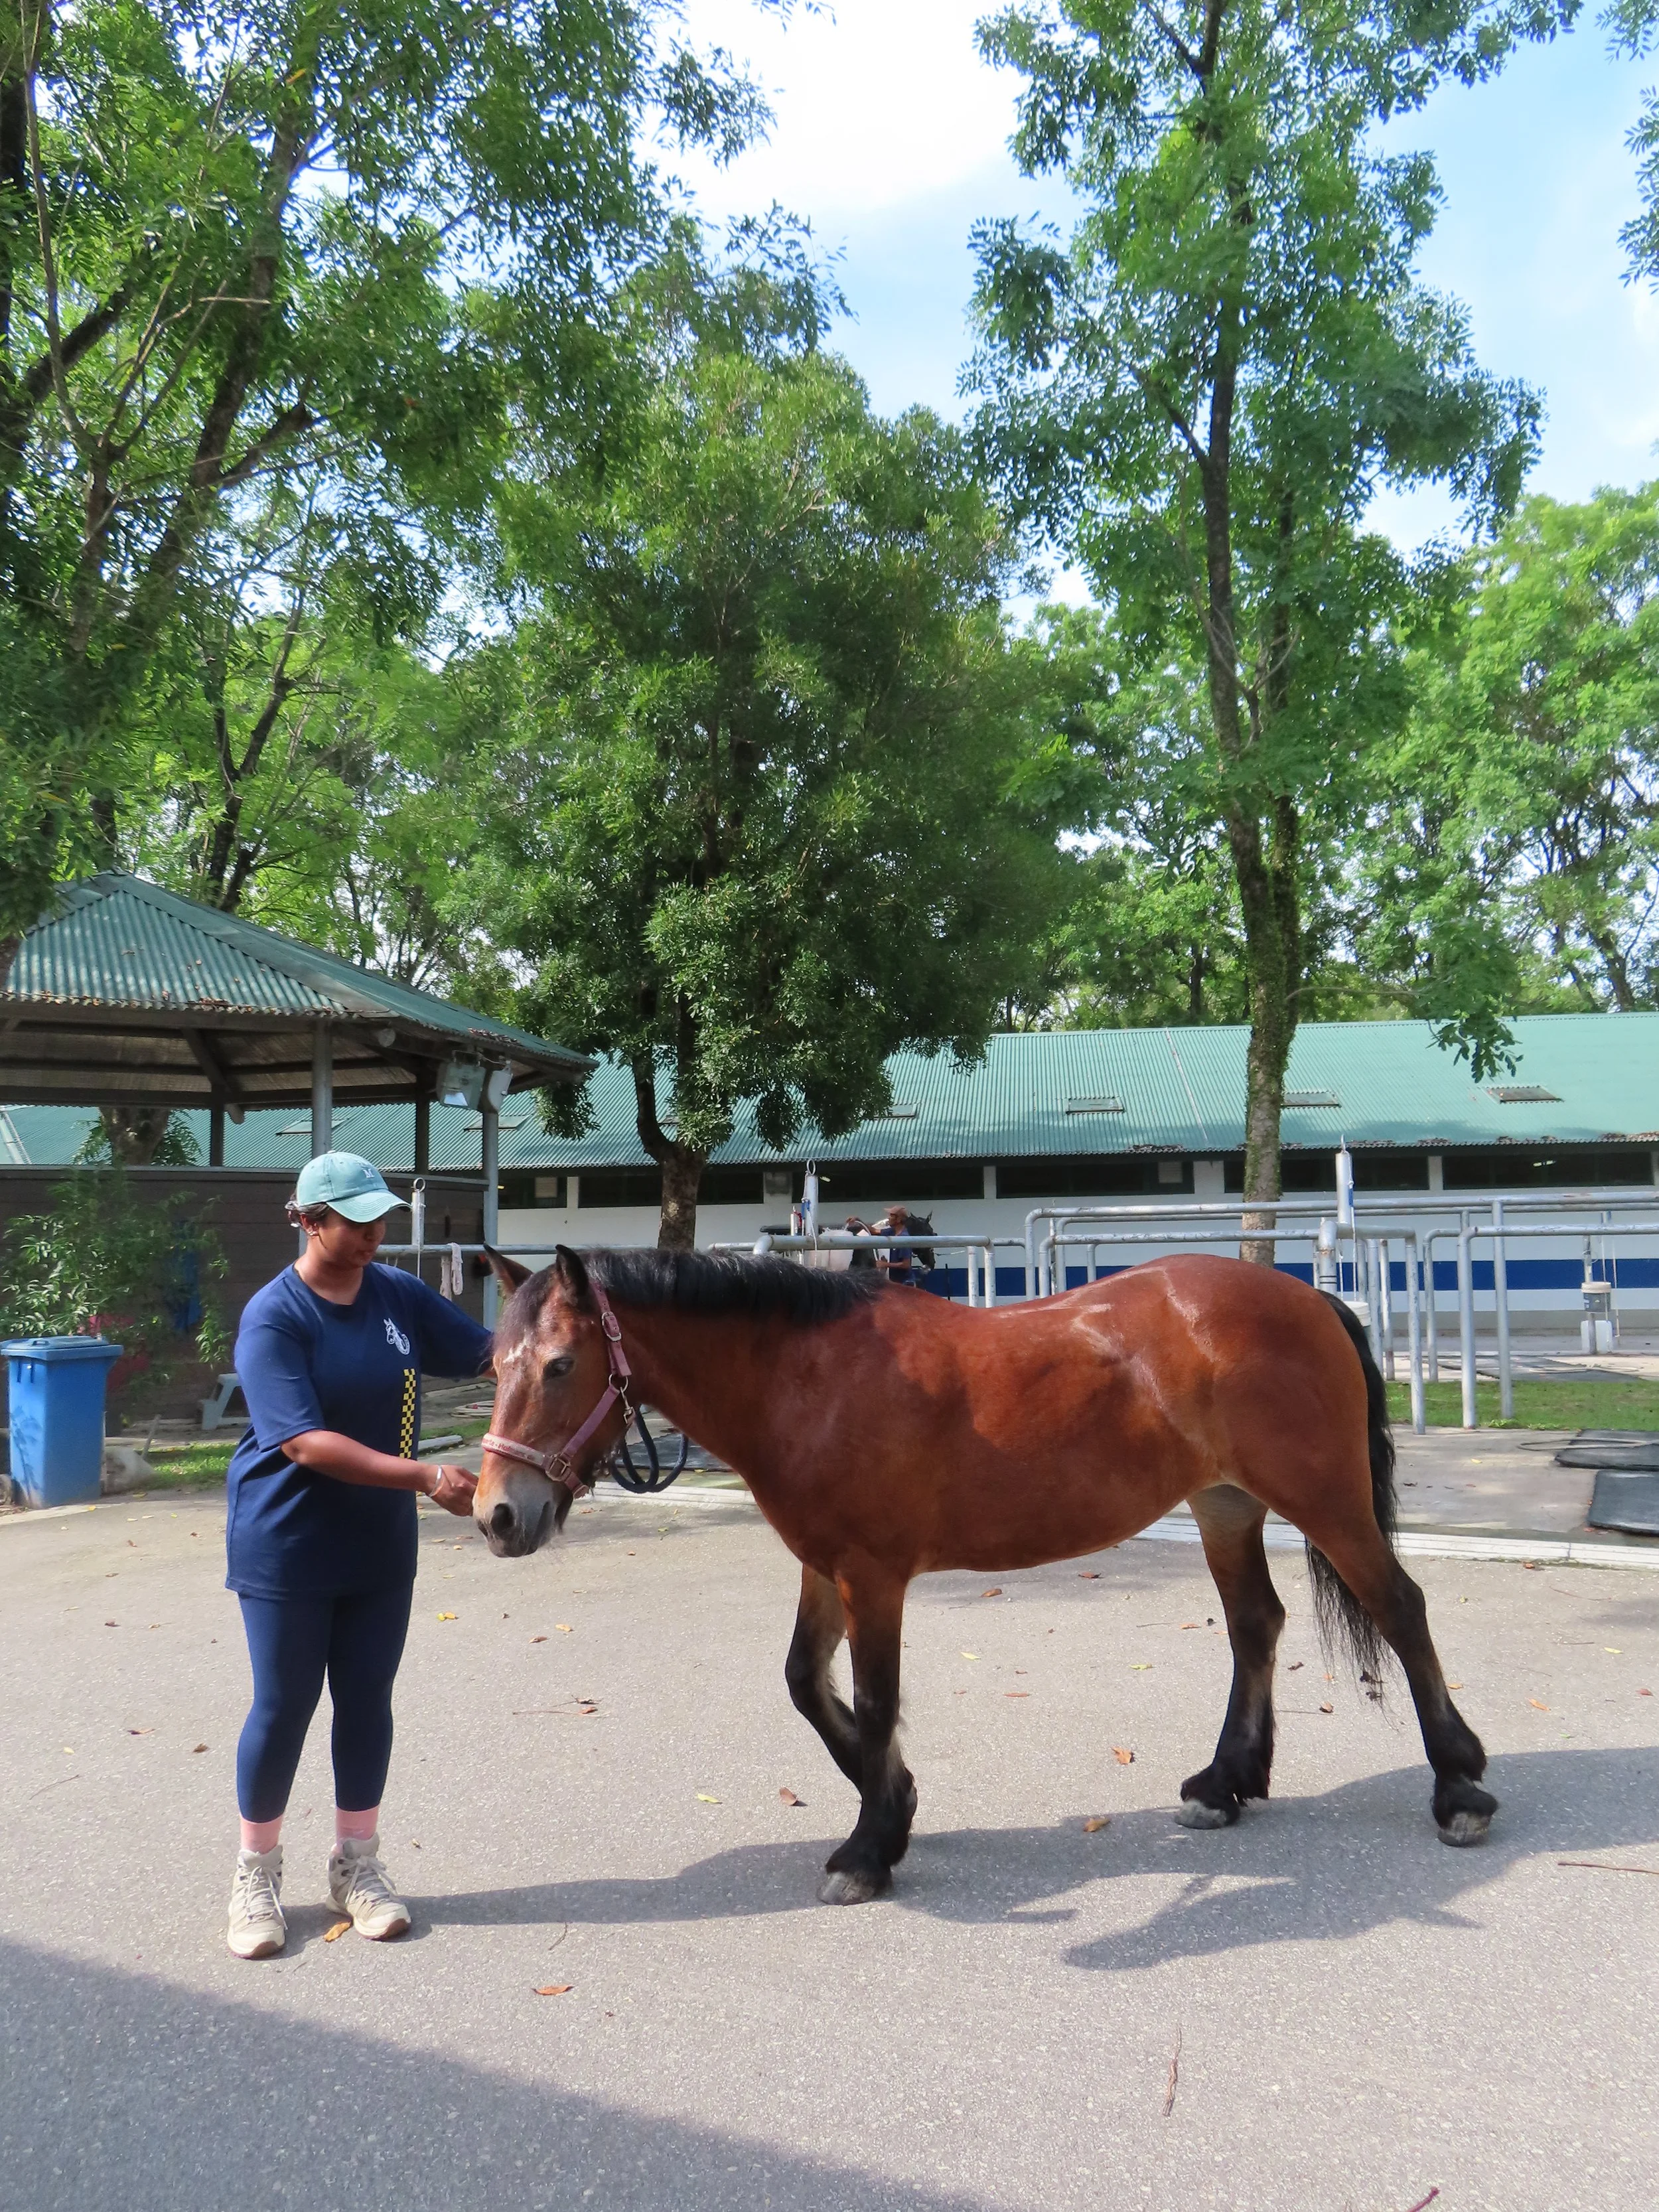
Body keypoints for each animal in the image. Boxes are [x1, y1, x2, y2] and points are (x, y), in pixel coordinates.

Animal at [475, 1244, 1495, 1905]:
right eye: (494, 1366)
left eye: (560, 1365)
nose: (496, 1514)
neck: (809, 1375)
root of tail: (1307, 1297)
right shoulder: (824, 1567)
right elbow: (808, 1684)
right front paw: (893, 1806)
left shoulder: (874, 1576)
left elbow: (875, 1701)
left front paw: (870, 1846)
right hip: (1225, 1505)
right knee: (1255, 1626)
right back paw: (1223, 1783)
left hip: (1323, 1498)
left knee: (1399, 1608)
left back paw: (1459, 1788)